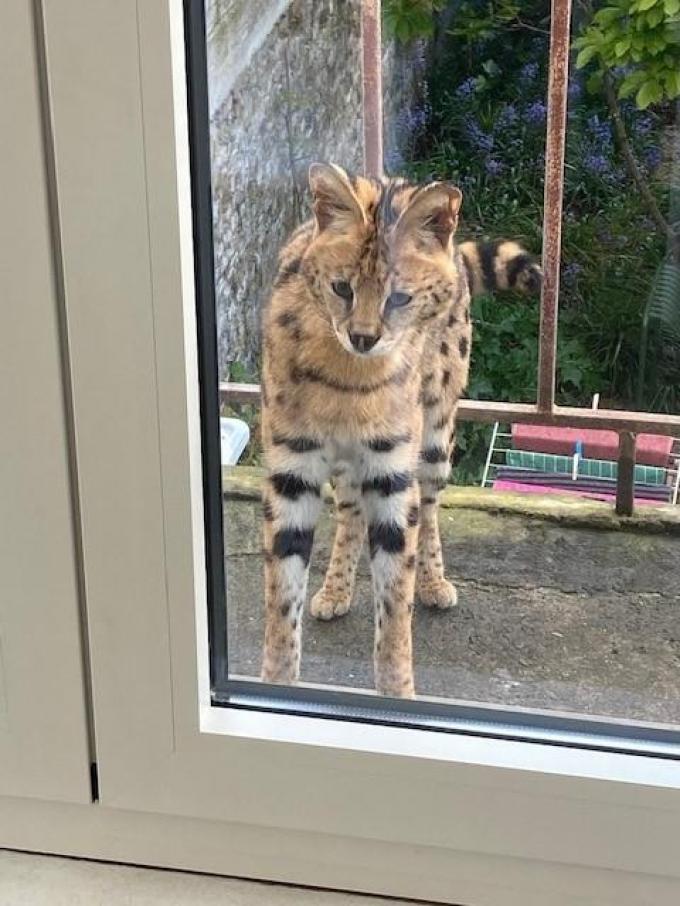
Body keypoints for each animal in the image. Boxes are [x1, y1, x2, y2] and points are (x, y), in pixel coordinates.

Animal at [258, 164, 540, 700]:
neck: (348, 379)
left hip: (435, 432)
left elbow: (395, 603)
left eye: (401, 298)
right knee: (349, 511)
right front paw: (278, 682)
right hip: (349, 464)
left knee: (428, 509)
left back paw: (432, 582)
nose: (363, 337)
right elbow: (281, 599)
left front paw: (397, 692)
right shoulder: (293, 467)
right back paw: (335, 587)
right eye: (341, 288)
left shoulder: (392, 470)